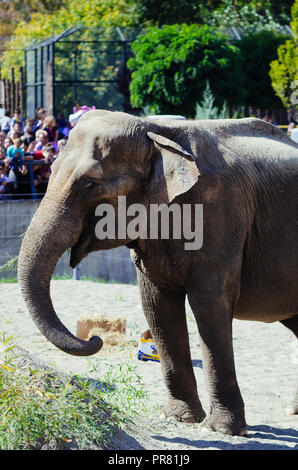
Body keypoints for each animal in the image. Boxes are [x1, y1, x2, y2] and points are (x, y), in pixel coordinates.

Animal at [18, 111, 298, 436]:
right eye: (49, 171)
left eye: (90, 184)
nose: (96, 339)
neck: (154, 131)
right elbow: (156, 305)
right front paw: (178, 418)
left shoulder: (221, 214)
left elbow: (209, 304)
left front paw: (222, 430)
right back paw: (294, 409)